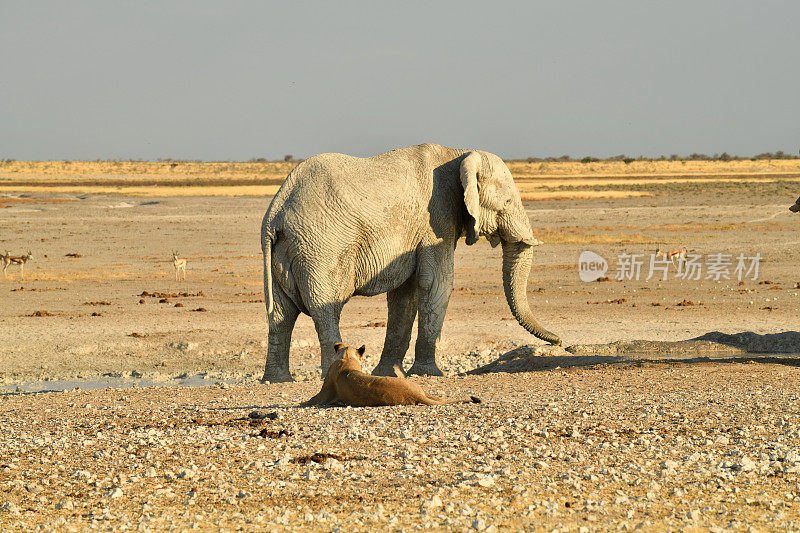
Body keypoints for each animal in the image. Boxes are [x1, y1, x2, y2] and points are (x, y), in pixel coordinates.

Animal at [260, 142, 560, 382]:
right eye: (507, 202)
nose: (558, 340)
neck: (458, 153)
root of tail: (276, 212)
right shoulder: (437, 219)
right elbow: (437, 283)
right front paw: (431, 374)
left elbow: (406, 295)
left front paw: (391, 375)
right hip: (320, 249)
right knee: (326, 309)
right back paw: (329, 375)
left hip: (286, 252)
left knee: (281, 315)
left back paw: (277, 380)